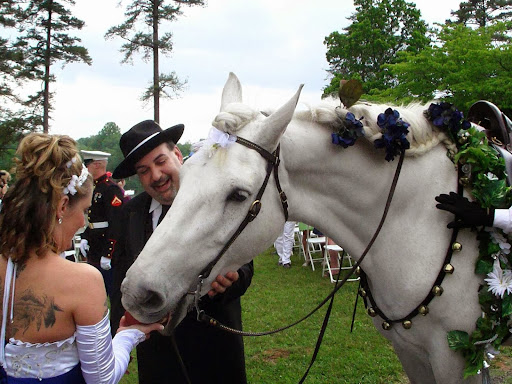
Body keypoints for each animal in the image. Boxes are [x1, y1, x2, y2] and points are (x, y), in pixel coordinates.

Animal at [122, 73, 486, 382]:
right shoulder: (411, 352)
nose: (136, 293)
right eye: (182, 177)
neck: (416, 218)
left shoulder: (454, 358)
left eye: (238, 195)